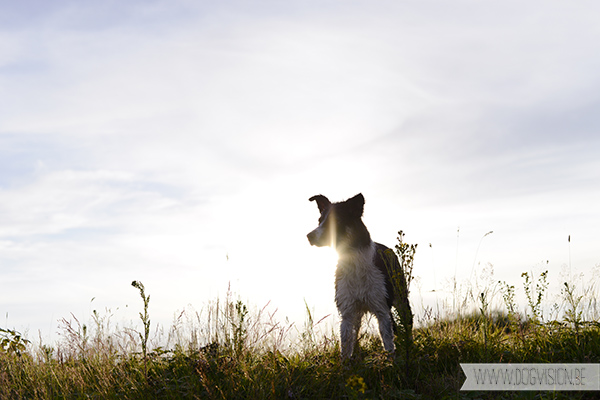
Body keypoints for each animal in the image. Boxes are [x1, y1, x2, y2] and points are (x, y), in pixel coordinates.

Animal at [308, 194, 410, 360]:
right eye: (319, 221)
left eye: (336, 221)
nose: (309, 236)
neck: (353, 262)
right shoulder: (348, 311)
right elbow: (345, 344)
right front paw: (346, 364)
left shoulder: (381, 308)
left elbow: (388, 341)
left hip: (401, 298)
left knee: (408, 322)